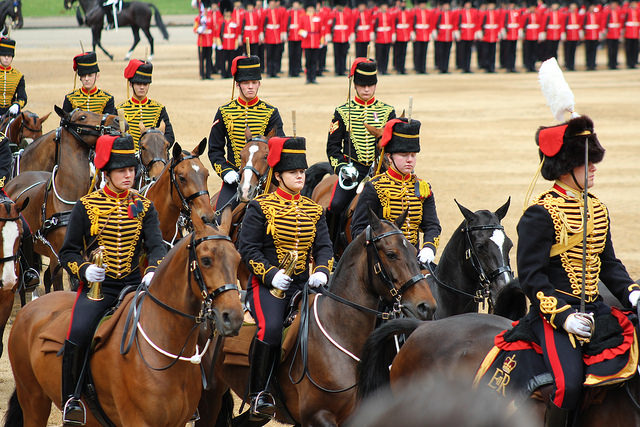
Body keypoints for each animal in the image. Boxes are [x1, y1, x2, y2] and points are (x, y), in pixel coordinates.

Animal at [4, 216, 245, 426]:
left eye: (237, 260)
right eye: (206, 260)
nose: (233, 318)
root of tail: (29, 309)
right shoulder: (137, 420)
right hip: (34, 400)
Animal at [198, 210, 438, 427]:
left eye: (415, 250)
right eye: (391, 253)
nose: (427, 306)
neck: (339, 330)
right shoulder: (318, 416)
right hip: (209, 397)